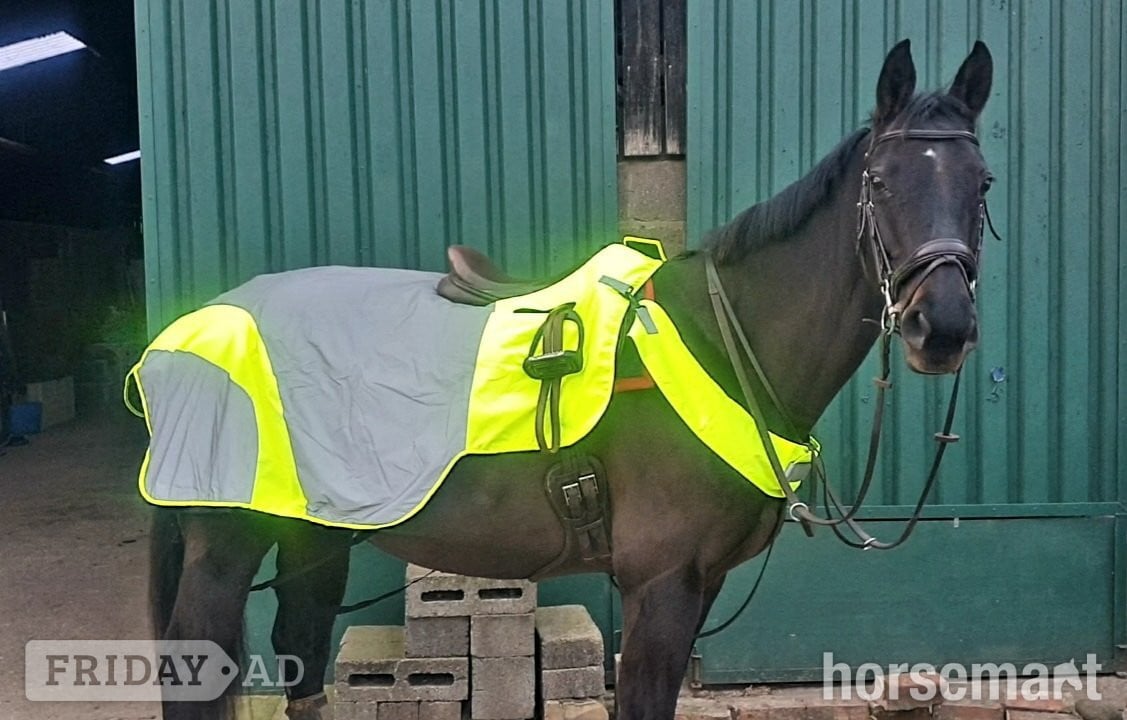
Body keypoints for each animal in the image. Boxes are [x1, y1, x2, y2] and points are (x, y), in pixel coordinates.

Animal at [149, 39, 994, 720]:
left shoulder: (701, 584)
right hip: (225, 548)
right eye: (879, 181)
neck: (723, 343)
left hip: (313, 533)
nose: (942, 329)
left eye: (981, 182)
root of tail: (191, 329)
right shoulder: (659, 588)